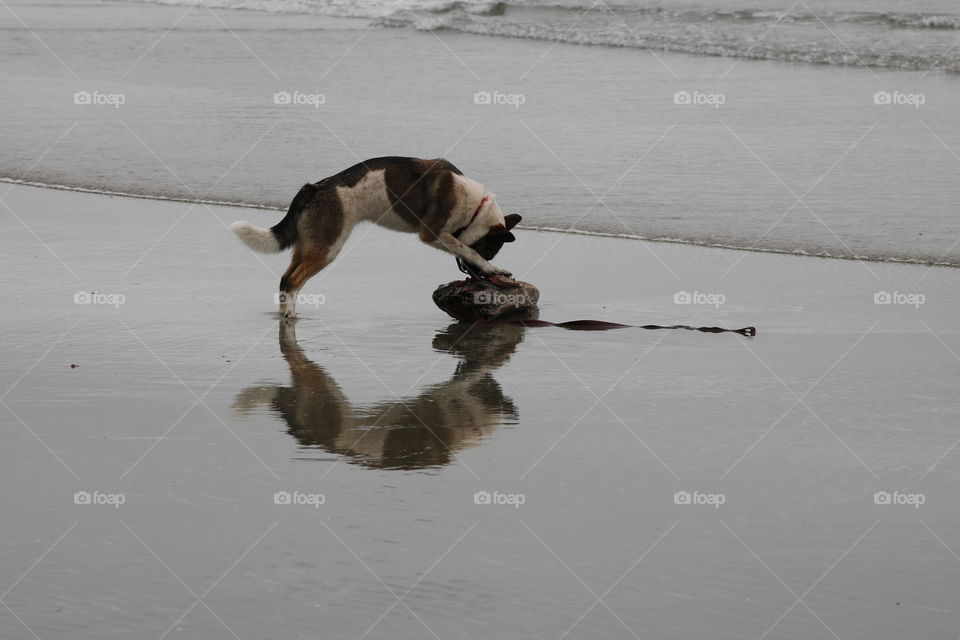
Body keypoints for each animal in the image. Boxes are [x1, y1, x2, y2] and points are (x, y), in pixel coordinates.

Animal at [230, 155, 520, 316]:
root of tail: (314, 188)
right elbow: (465, 248)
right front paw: (494, 269)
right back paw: (290, 318)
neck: (476, 208)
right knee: (292, 281)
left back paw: (284, 315)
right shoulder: (432, 234)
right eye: (489, 251)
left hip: (309, 244)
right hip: (327, 247)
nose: (479, 278)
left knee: (285, 279)